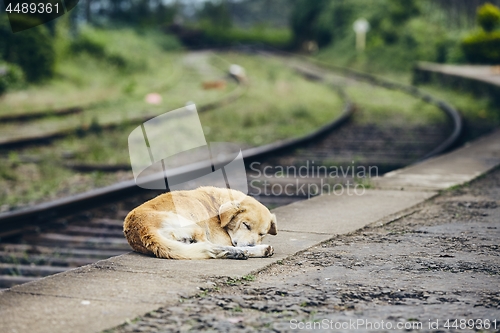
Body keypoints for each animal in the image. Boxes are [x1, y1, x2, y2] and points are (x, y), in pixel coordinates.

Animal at [122, 185, 276, 258]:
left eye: (262, 234)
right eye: (245, 225)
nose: (252, 244)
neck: (216, 204)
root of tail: (143, 229)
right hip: (194, 226)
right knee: (209, 246)